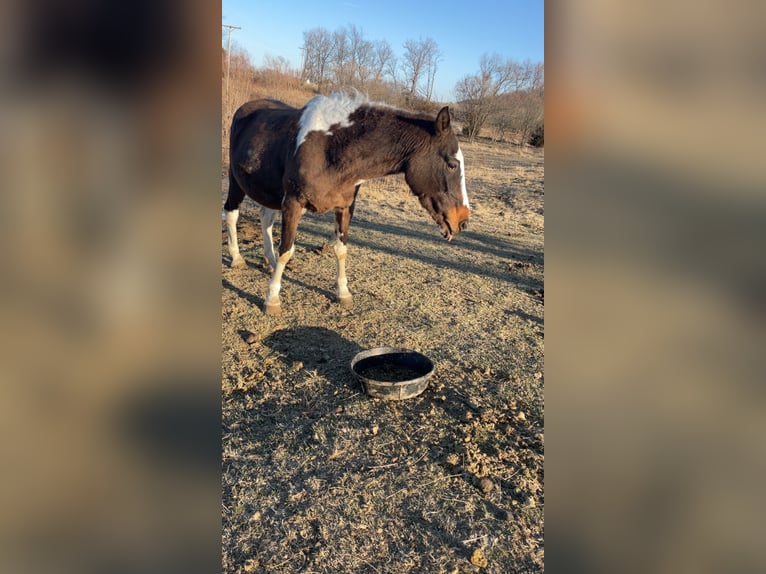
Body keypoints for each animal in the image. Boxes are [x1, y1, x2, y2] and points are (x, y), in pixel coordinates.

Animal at [224, 91, 471, 315]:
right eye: (452, 164)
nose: (462, 221)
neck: (330, 148)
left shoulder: (344, 207)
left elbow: (340, 249)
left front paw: (343, 293)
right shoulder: (293, 203)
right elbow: (287, 249)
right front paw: (272, 299)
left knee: (266, 219)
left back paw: (271, 262)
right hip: (237, 183)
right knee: (231, 214)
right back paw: (237, 258)